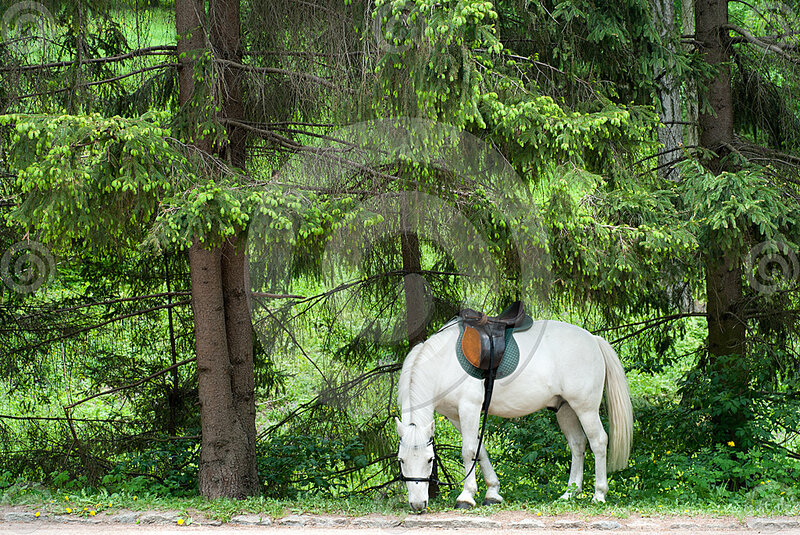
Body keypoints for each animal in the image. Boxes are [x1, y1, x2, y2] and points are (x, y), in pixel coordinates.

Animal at [395, 318, 633, 511]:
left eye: (430, 460)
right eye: (401, 460)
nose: (418, 505)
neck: (444, 362)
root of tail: (593, 339)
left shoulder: (469, 408)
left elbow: (468, 451)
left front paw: (466, 497)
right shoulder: (455, 416)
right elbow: (480, 451)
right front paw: (492, 493)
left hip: (585, 408)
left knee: (598, 441)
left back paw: (599, 494)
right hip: (565, 409)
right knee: (578, 444)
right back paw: (570, 493)